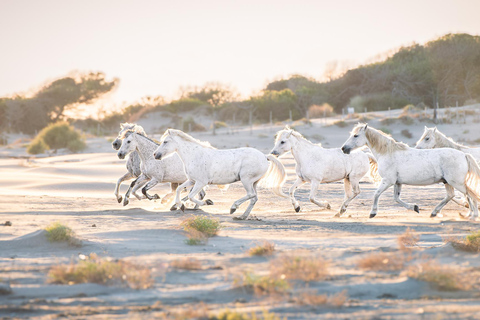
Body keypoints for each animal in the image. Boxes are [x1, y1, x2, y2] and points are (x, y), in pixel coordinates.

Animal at [155, 129, 288, 219]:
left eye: (165, 142)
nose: (155, 155)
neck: (194, 155)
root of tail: (265, 157)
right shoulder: (192, 180)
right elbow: (179, 190)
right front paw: (180, 205)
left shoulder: (201, 182)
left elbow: (192, 196)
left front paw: (207, 202)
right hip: (254, 182)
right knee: (254, 198)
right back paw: (242, 216)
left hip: (246, 180)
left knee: (250, 195)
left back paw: (233, 208)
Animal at [342, 123, 480, 220]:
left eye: (355, 135)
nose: (344, 148)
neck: (387, 153)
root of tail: (464, 155)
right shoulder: (397, 182)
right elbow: (396, 198)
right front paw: (415, 207)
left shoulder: (388, 181)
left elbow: (376, 194)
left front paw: (372, 213)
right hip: (448, 182)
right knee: (452, 196)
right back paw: (434, 213)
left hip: (456, 183)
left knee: (470, 195)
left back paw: (472, 215)